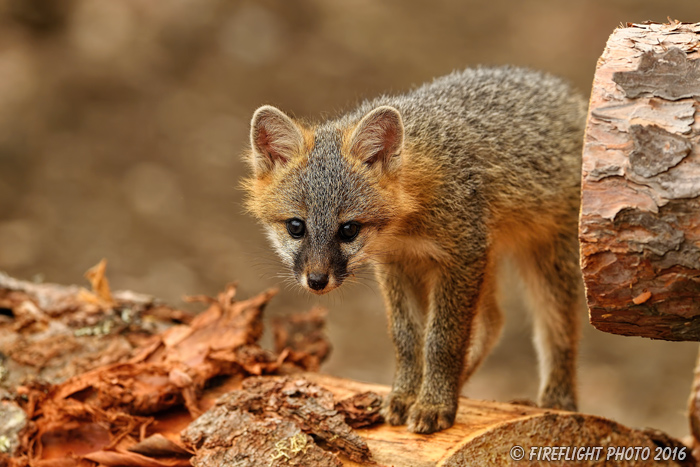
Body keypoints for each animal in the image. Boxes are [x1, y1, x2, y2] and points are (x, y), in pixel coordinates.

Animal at [243, 66, 588, 436]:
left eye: (349, 229)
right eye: (296, 226)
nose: (317, 281)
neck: (408, 224)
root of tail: (556, 86)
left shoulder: (461, 257)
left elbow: (442, 340)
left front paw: (435, 404)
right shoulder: (398, 263)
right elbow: (407, 338)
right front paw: (407, 396)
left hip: (545, 261)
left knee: (558, 329)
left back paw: (557, 402)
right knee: (493, 321)